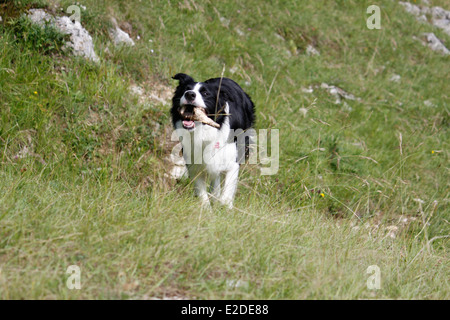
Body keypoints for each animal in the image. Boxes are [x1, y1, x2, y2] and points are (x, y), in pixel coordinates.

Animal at [172, 73, 255, 209]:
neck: (204, 131)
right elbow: (202, 193)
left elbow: (227, 192)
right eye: (185, 89)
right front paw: (207, 209)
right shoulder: (194, 164)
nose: (190, 94)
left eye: (205, 93)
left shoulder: (232, 160)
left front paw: (225, 207)